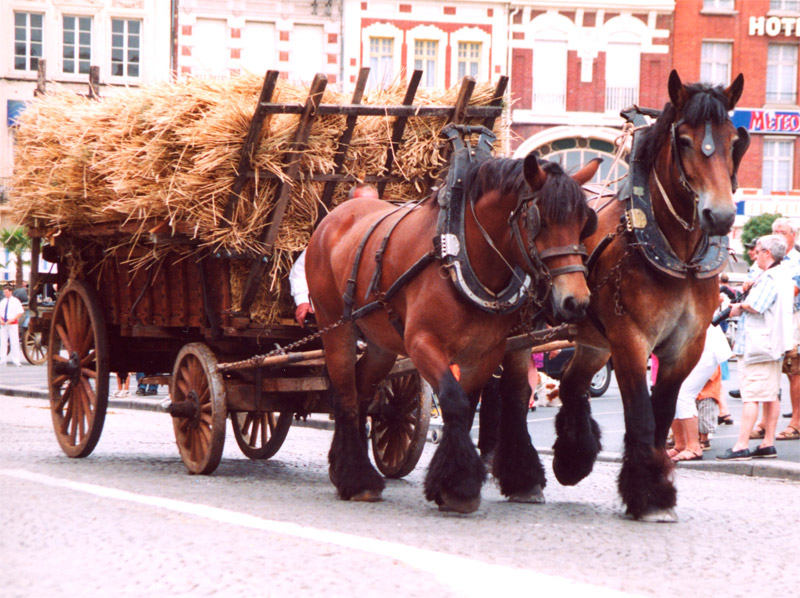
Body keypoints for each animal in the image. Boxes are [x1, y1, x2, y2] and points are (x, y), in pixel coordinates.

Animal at [306, 135, 600, 510]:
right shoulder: (422, 342)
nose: (576, 301)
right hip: (336, 326)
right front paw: (458, 485)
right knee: (344, 395)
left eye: (584, 223)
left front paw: (463, 482)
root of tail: (335, 216)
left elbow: (471, 403)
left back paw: (348, 469)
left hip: (380, 342)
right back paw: (357, 479)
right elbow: (454, 399)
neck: (461, 256)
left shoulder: (486, 350)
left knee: (362, 391)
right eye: (541, 222)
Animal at [552, 69, 752, 520]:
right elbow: (642, 416)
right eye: (685, 140)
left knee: (571, 385)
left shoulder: (686, 346)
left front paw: (655, 486)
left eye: (734, 140)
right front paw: (648, 493)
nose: (721, 216)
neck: (677, 254)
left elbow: (662, 416)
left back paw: (573, 459)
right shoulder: (630, 340)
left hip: (592, 341)